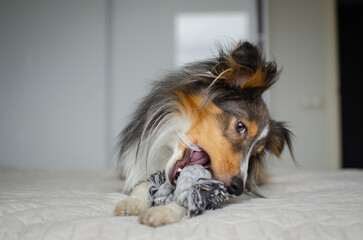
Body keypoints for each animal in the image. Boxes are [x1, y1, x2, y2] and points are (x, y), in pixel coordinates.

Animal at [115, 41, 294, 227]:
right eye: (241, 126)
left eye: (254, 155)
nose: (238, 188)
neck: (168, 152)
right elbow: (142, 184)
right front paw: (132, 202)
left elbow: (191, 196)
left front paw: (163, 211)